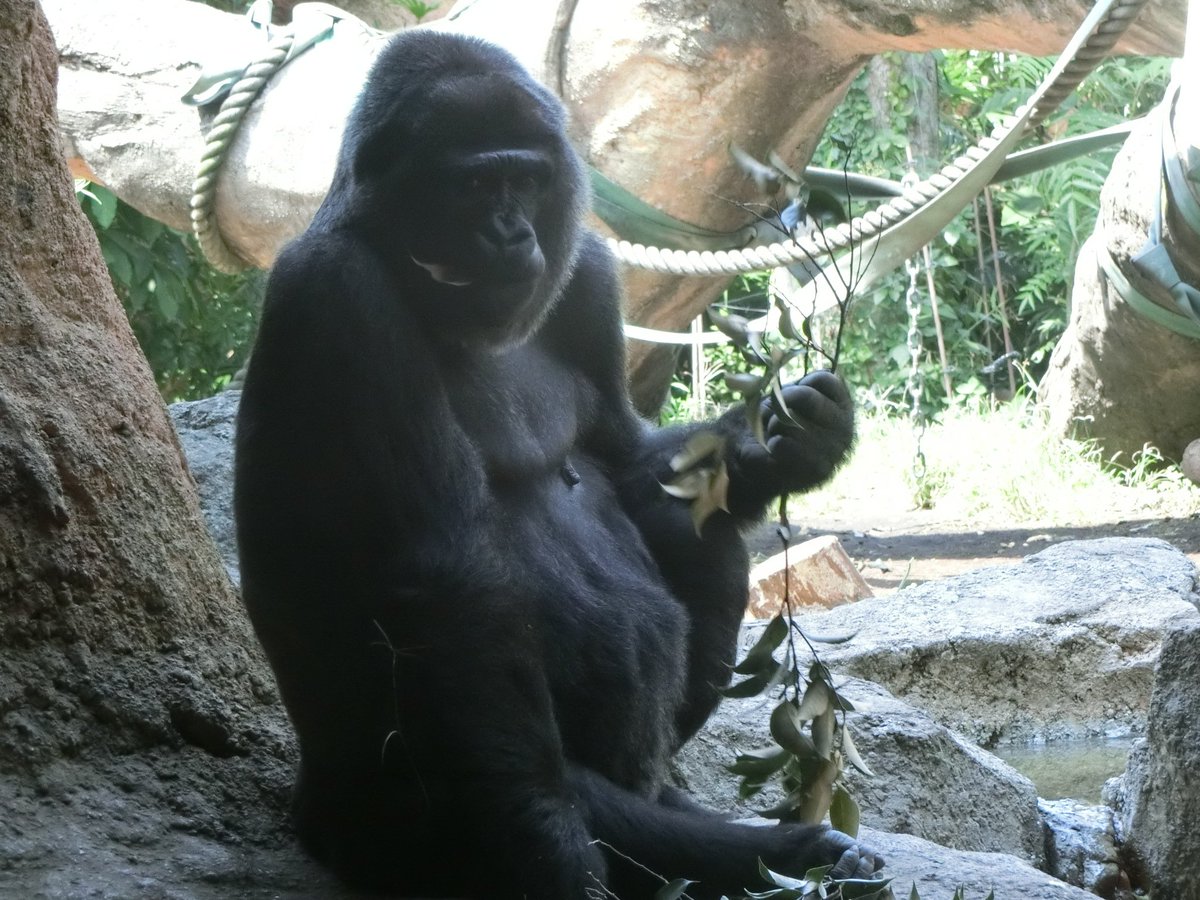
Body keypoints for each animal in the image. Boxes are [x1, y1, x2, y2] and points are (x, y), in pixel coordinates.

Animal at [234, 28, 883, 900]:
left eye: (528, 180)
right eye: (475, 185)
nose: (512, 235)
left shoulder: (587, 271)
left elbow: (635, 460)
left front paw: (791, 443)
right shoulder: (338, 294)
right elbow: (442, 583)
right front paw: (543, 841)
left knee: (694, 531)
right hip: (365, 811)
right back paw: (752, 852)